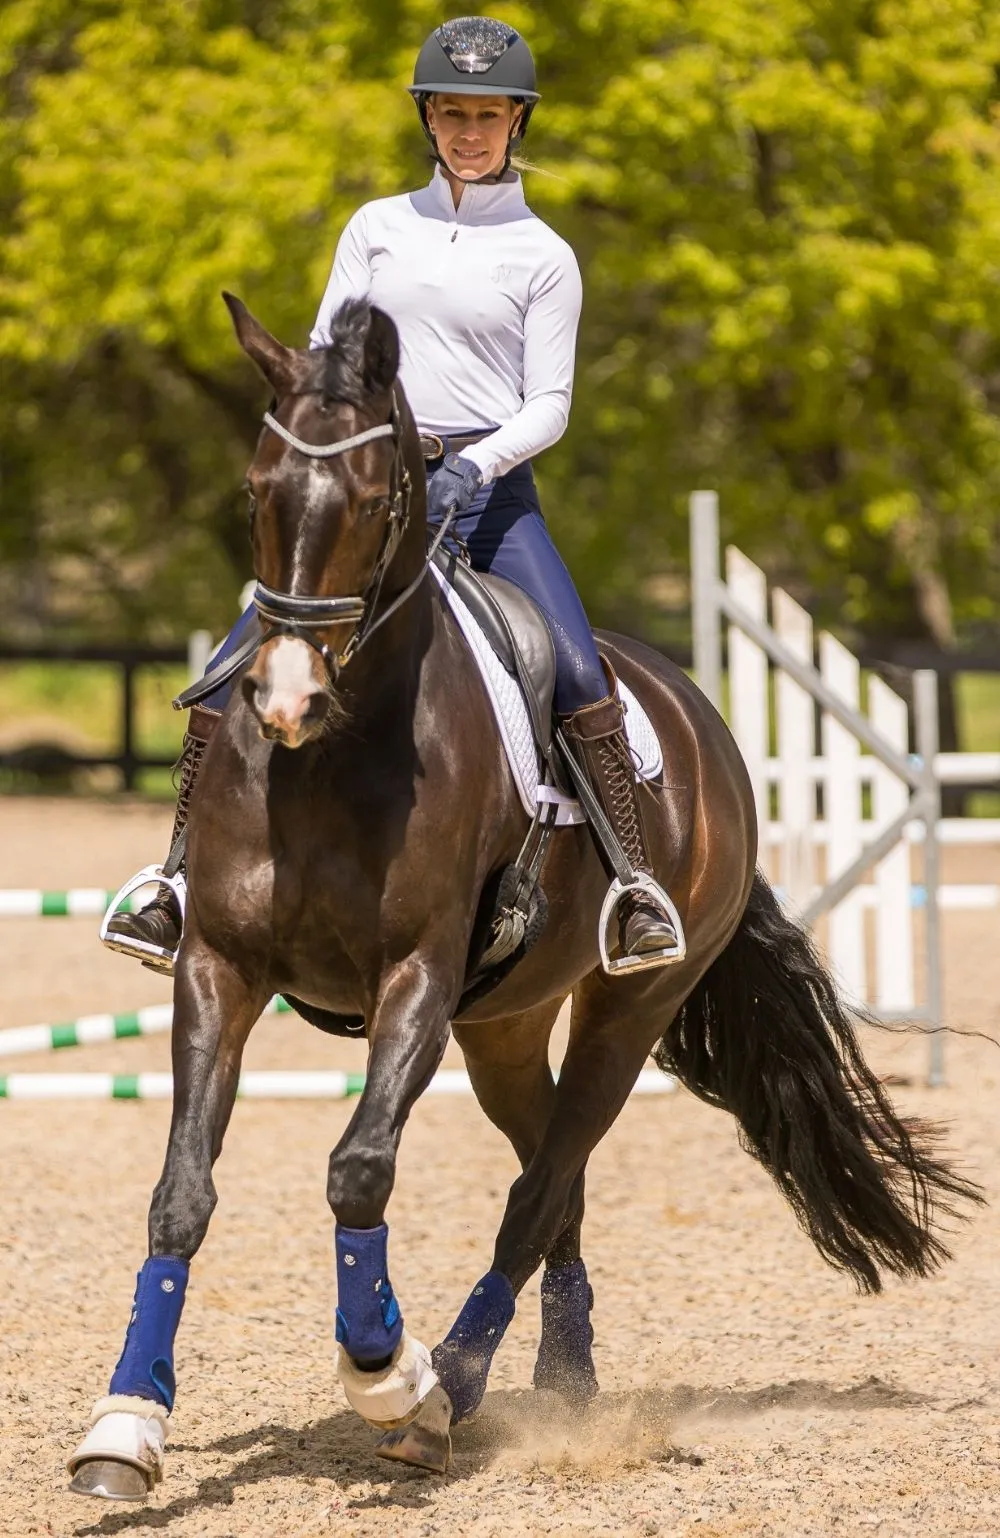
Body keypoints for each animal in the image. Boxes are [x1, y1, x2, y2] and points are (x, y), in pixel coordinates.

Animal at [68, 293, 972, 1494]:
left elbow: (359, 1170)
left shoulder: (414, 977)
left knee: (543, 1183)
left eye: (373, 501)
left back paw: (446, 1388)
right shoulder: (220, 967)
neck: (334, 757)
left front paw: (386, 1372)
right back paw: (561, 1372)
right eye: (257, 490)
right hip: (500, 1023)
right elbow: (181, 1191)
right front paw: (125, 1424)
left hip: (627, 1006)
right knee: (554, 1171)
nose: (286, 698)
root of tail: (699, 714)